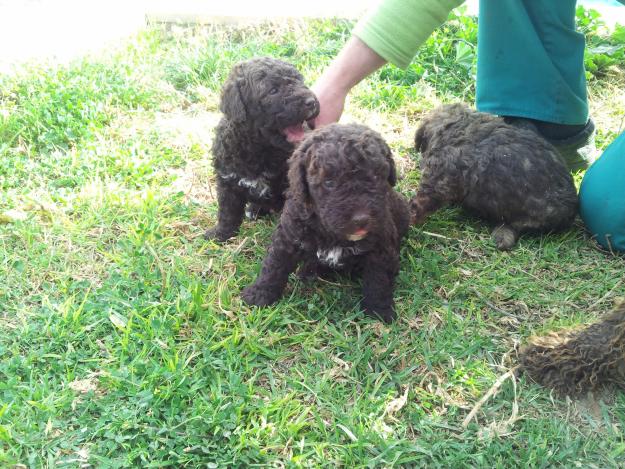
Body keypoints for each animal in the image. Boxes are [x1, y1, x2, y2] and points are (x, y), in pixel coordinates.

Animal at [205, 56, 320, 241]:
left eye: (300, 80)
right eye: (273, 90)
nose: (312, 102)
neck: (260, 151)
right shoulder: (227, 181)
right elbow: (227, 212)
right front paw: (220, 234)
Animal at [241, 122, 412, 324]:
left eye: (377, 177)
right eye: (329, 182)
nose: (362, 219)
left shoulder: (381, 246)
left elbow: (379, 280)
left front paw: (379, 310)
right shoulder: (289, 235)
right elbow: (274, 266)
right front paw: (259, 293)